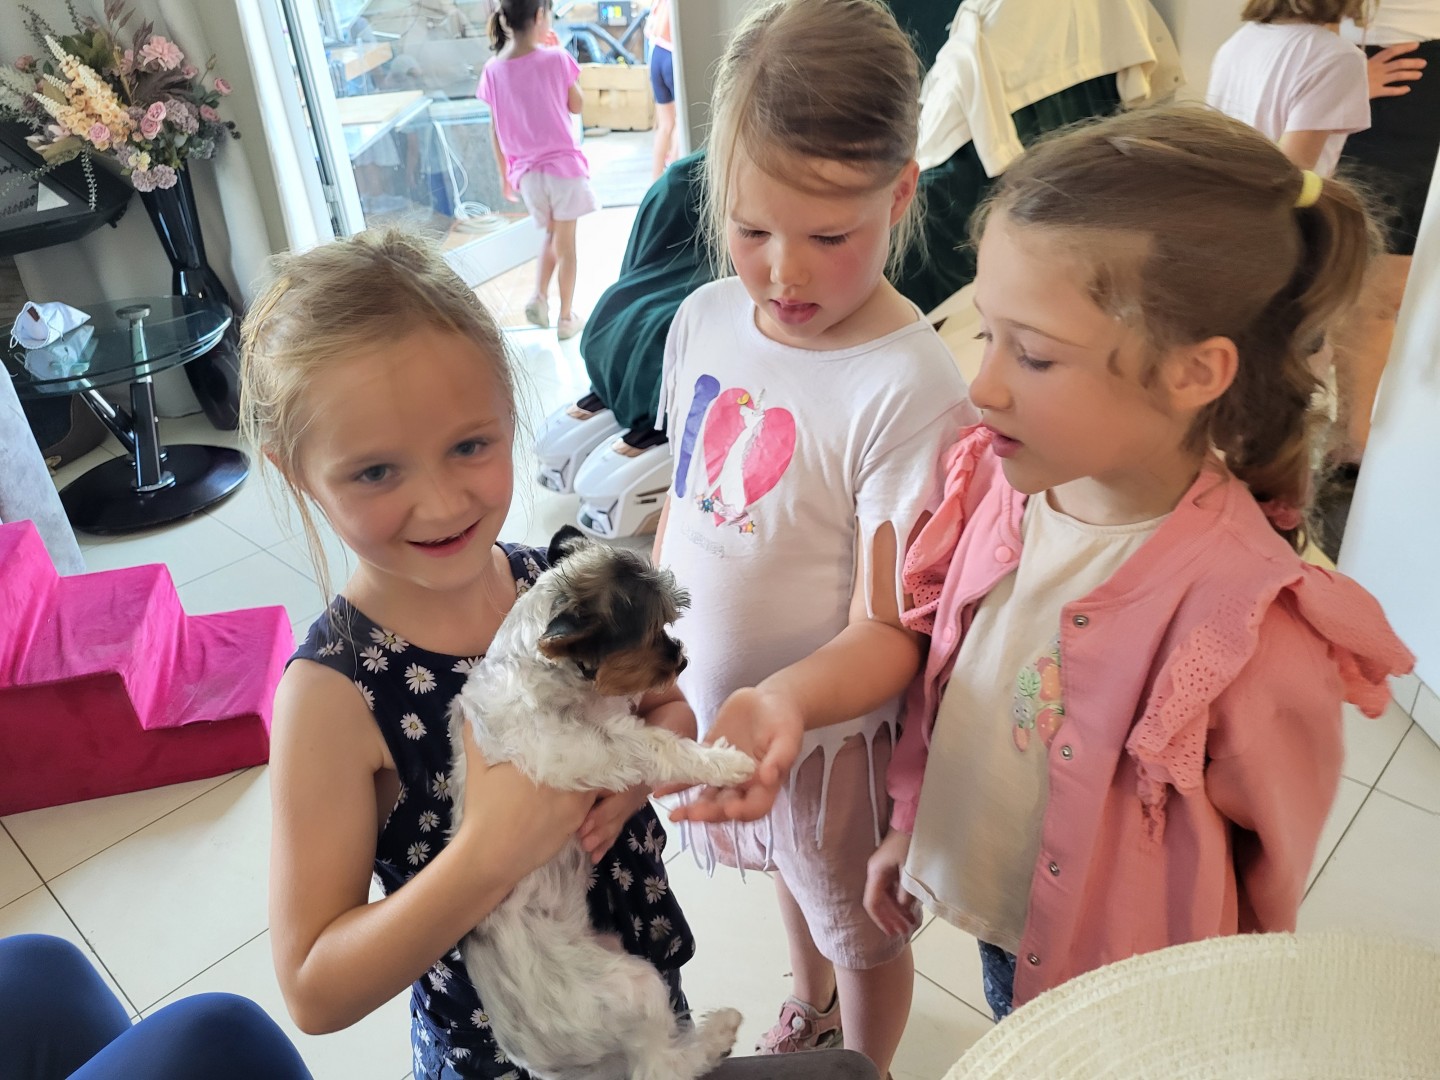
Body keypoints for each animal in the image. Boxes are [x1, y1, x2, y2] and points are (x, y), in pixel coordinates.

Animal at [448, 526, 755, 1080]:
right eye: (653, 630)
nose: (681, 658)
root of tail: (538, 1061)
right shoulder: (593, 749)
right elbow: (662, 749)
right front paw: (727, 763)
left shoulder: (611, 719)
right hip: (632, 987)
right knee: (661, 1067)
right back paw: (719, 1033)